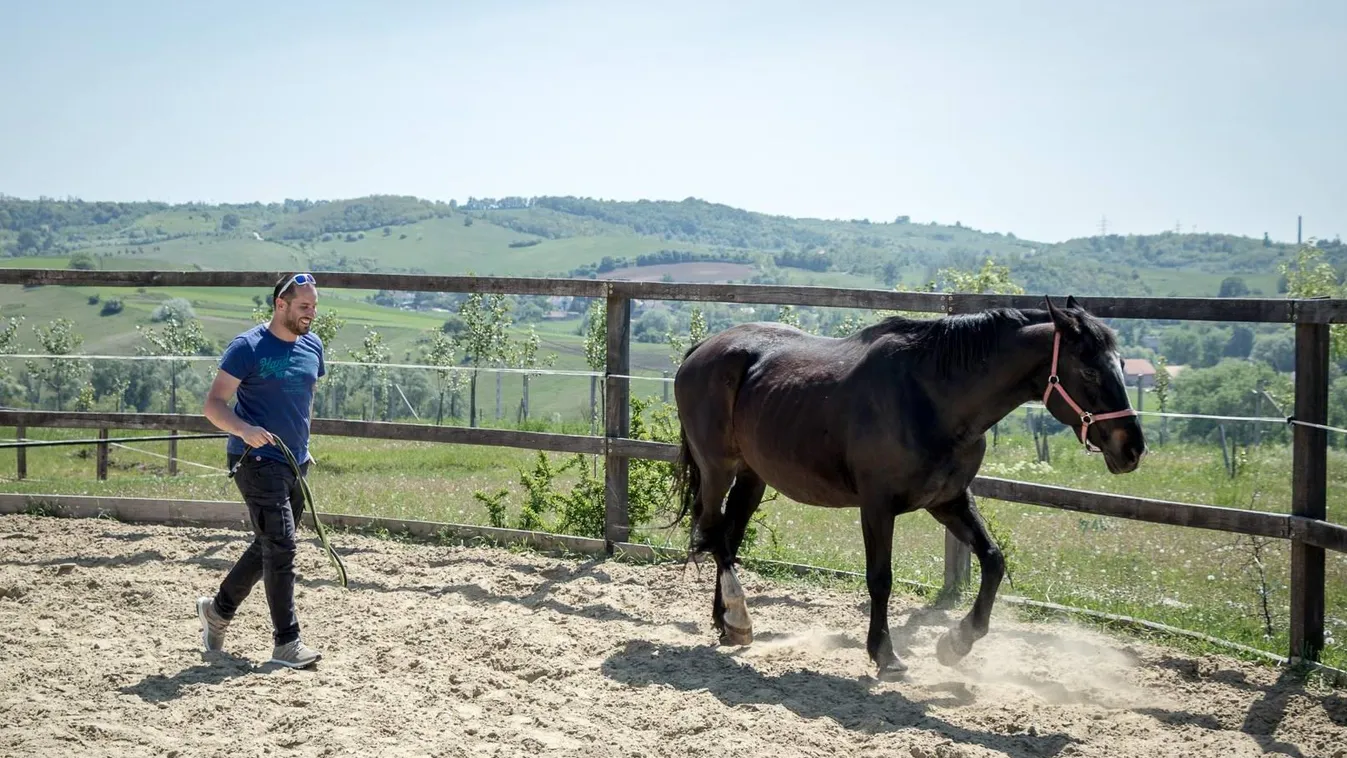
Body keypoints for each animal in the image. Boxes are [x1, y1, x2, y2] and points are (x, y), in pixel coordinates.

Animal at [668, 294, 1142, 675]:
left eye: (1121, 366)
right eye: (1089, 371)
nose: (1132, 448)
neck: (931, 398)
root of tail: (701, 351)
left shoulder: (949, 500)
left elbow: (993, 560)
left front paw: (955, 643)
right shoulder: (877, 506)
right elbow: (881, 578)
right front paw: (886, 655)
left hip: (753, 476)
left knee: (729, 536)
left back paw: (727, 624)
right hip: (718, 468)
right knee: (714, 534)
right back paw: (739, 618)